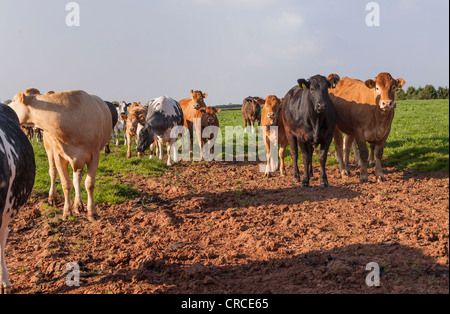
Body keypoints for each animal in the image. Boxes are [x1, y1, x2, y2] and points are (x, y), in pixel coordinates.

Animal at [9, 88, 112, 221]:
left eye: (13, 100)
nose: (6, 107)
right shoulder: (59, 156)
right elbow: (66, 184)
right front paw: (67, 212)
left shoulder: (94, 155)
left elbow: (89, 184)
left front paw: (91, 212)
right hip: (49, 149)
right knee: (53, 172)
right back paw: (52, 198)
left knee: (77, 177)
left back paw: (78, 204)